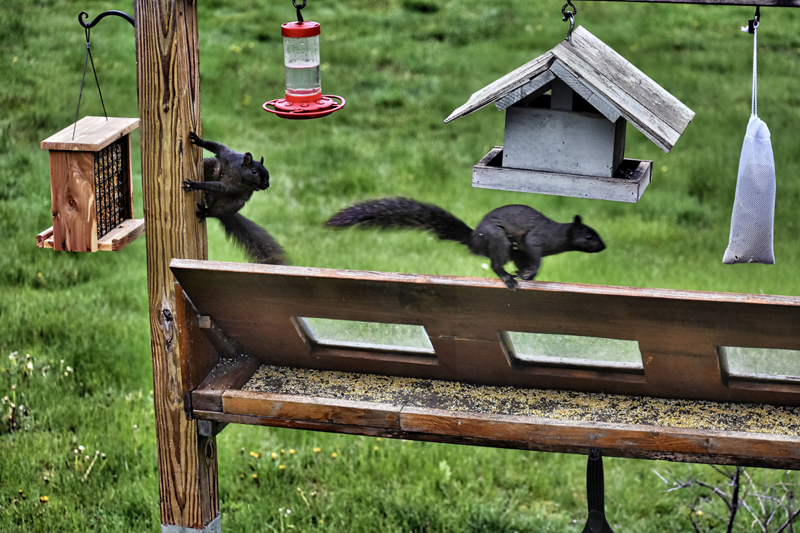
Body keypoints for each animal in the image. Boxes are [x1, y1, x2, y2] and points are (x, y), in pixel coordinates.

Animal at [183, 132, 286, 264]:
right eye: (254, 171)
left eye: (267, 173)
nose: (266, 185)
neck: (238, 172)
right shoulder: (227, 156)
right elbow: (216, 147)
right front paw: (198, 140)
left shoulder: (229, 186)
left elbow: (214, 186)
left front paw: (195, 185)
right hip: (209, 165)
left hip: (230, 205)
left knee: (214, 212)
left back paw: (205, 212)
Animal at [324, 195, 608, 288]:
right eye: (589, 236)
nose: (604, 247)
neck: (558, 235)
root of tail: (474, 240)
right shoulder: (535, 241)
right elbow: (535, 256)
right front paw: (529, 274)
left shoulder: (524, 250)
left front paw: (527, 274)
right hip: (499, 241)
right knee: (495, 264)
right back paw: (507, 278)